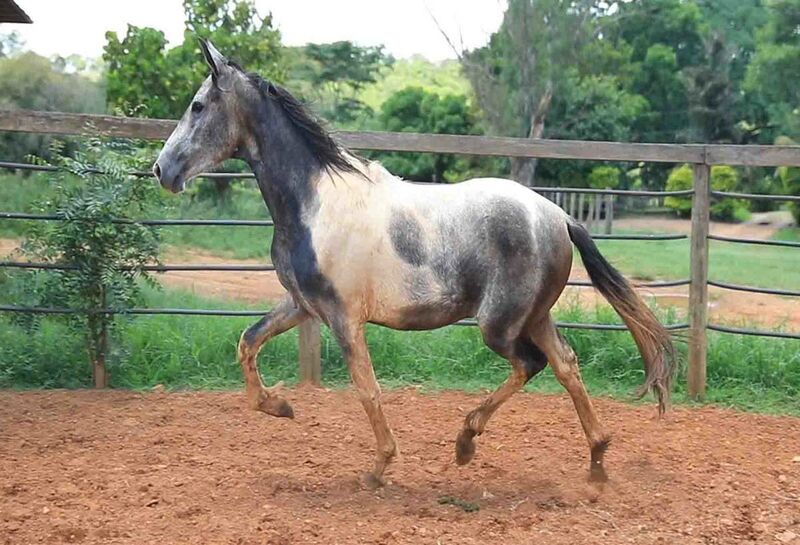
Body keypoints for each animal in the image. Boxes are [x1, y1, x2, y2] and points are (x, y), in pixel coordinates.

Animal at [152, 40, 676, 486]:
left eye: (197, 106)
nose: (162, 170)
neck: (315, 201)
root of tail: (559, 216)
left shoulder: (343, 317)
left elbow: (367, 389)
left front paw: (378, 468)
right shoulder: (303, 305)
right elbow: (248, 341)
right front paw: (279, 407)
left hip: (500, 324)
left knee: (532, 364)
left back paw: (466, 442)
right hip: (534, 315)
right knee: (566, 365)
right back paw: (596, 460)